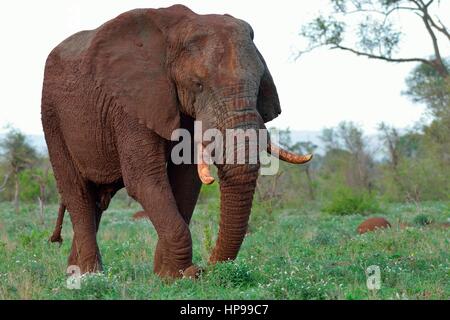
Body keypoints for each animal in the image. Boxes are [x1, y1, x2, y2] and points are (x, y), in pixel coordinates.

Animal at [40, 4, 312, 278]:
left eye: (258, 86)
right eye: (198, 85)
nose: (206, 269)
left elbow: (186, 179)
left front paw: (169, 276)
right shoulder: (132, 102)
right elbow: (144, 179)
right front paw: (182, 275)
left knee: (95, 201)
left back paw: (74, 273)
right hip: (52, 116)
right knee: (78, 194)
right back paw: (90, 277)